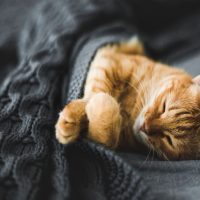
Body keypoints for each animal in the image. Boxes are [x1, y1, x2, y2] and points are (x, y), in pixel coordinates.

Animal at [55, 37, 200, 159]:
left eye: (168, 140)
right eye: (164, 107)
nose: (146, 126)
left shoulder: (117, 141)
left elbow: (107, 135)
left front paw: (102, 106)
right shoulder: (109, 61)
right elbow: (94, 92)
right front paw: (74, 115)